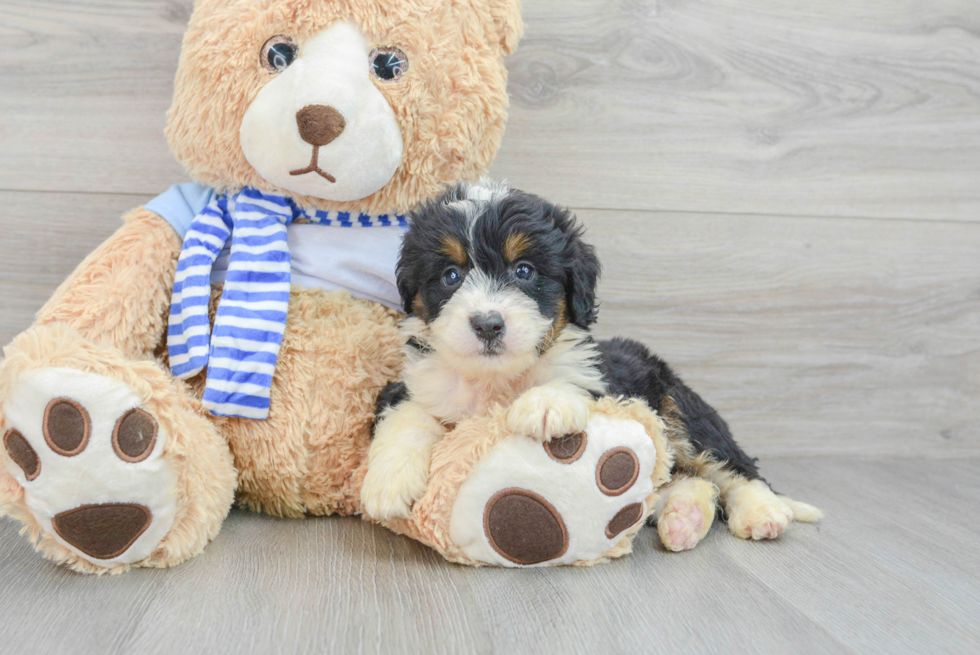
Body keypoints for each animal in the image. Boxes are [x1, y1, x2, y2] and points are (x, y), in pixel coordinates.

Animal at [360, 178, 820, 548]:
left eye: (524, 271)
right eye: (450, 276)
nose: (488, 324)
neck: (497, 380)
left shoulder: (604, 383)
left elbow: (567, 379)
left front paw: (544, 405)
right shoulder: (412, 383)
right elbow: (409, 415)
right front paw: (387, 482)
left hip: (680, 408)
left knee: (734, 468)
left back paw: (761, 513)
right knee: (688, 481)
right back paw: (682, 519)